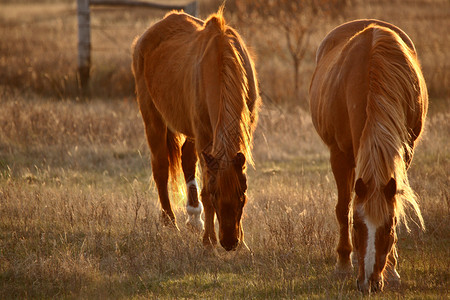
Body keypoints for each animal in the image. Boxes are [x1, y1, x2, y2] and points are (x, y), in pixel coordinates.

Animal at [131, 9, 260, 252]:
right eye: (217, 194)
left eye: (242, 194)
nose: (229, 242)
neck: (220, 62)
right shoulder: (204, 135)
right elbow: (205, 188)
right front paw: (209, 242)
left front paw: (244, 243)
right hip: (153, 118)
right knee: (161, 168)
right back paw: (170, 222)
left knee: (186, 159)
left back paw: (193, 217)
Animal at [310, 19, 428, 294]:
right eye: (357, 227)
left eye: (390, 226)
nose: (369, 284)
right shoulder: (339, 155)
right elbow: (343, 208)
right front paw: (343, 264)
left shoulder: (405, 152)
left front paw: (393, 270)